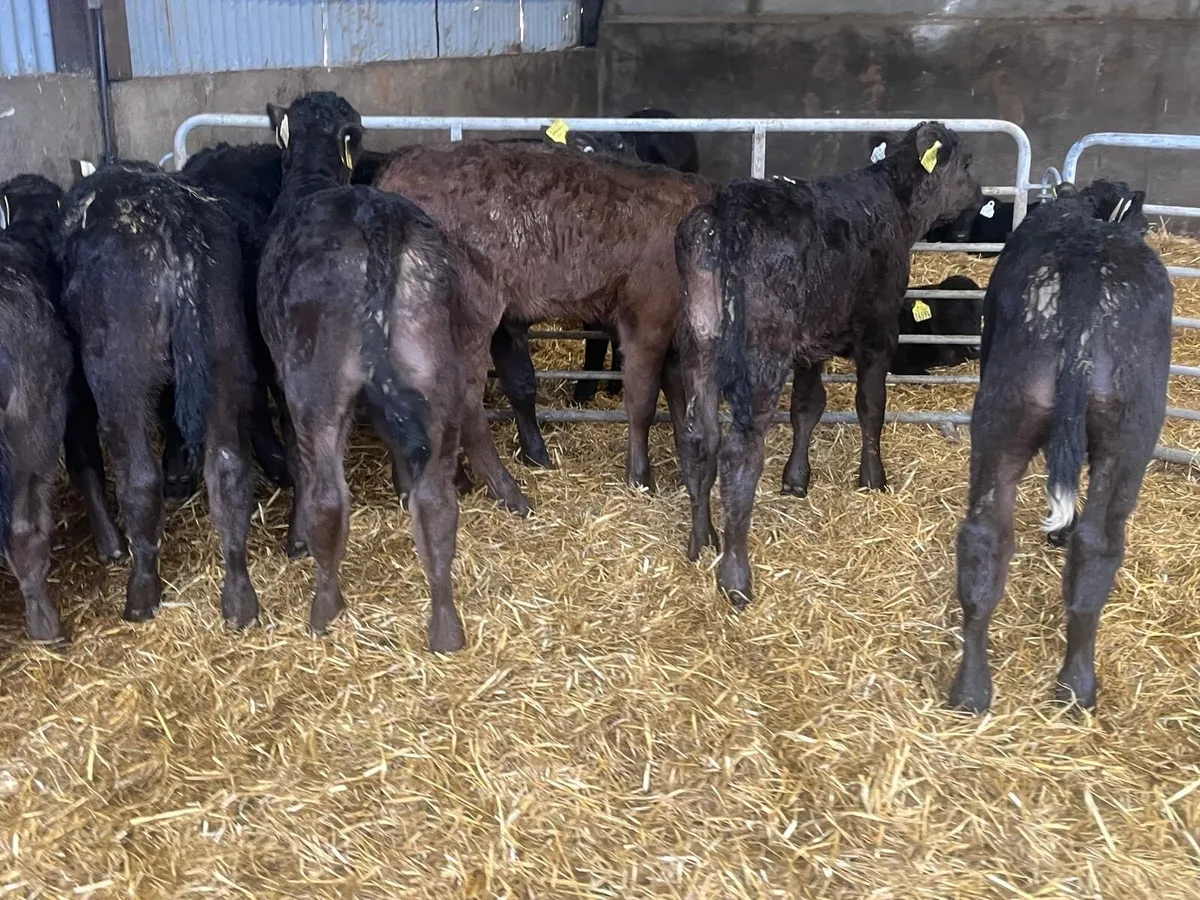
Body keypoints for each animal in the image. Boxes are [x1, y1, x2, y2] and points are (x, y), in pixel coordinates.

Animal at [56, 161, 260, 627]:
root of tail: (174, 221)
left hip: (119, 374)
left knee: (139, 480)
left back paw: (141, 592)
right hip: (223, 355)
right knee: (229, 470)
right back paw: (240, 600)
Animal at [256, 91, 468, 652]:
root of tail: (374, 216)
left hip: (315, 383)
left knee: (328, 497)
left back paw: (324, 607)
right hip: (437, 370)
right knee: (438, 502)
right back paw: (445, 624)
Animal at [674, 122, 980, 606]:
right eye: (967, 162)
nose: (981, 192)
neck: (892, 203)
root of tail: (724, 210)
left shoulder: (811, 345)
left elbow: (808, 406)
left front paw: (797, 479)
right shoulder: (879, 329)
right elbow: (871, 405)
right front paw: (873, 478)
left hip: (697, 344)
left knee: (698, 436)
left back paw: (702, 540)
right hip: (762, 354)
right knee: (740, 452)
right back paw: (735, 577)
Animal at [948, 180, 1168, 713]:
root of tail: (1085, 258)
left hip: (1016, 418)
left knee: (988, 538)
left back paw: (979, 690)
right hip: (1123, 431)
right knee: (1095, 543)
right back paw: (1076, 686)